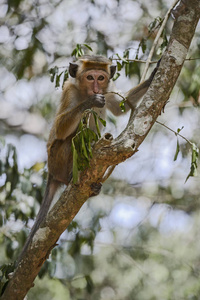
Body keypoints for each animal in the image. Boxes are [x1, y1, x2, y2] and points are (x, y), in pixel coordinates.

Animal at [18, 55, 159, 260]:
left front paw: (154, 74)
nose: (96, 88)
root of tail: (52, 172)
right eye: (90, 77)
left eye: (100, 78)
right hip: (56, 159)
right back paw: (71, 176)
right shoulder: (69, 91)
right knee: (71, 139)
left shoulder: (108, 90)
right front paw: (90, 102)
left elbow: (120, 107)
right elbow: (61, 129)